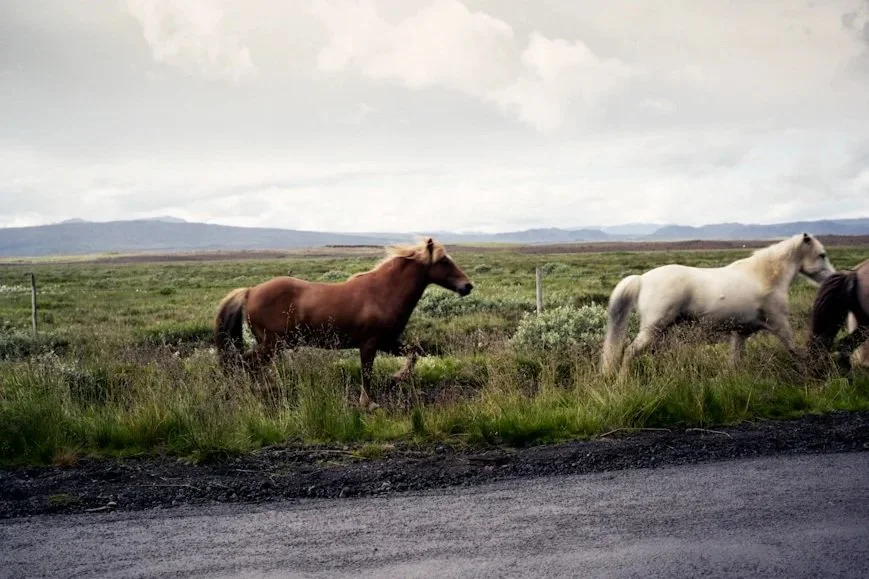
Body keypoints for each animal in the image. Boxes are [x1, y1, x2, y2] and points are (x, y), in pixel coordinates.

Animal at [214, 238, 473, 409]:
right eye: (444, 261)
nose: (467, 286)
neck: (383, 292)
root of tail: (250, 291)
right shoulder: (369, 344)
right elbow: (367, 373)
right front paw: (368, 403)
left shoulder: (388, 342)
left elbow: (414, 353)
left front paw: (397, 377)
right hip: (271, 344)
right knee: (249, 364)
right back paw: (259, 391)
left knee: (247, 364)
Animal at [601, 233, 835, 376]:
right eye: (821, 255)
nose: (832, 277)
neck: (764, 277)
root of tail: (642, 279)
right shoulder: (779, 323)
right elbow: (795, 350)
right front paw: (810, 372)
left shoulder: (740, 332)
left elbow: (735, 359)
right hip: (653, 329)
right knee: (629, 352)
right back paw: (623, 382)